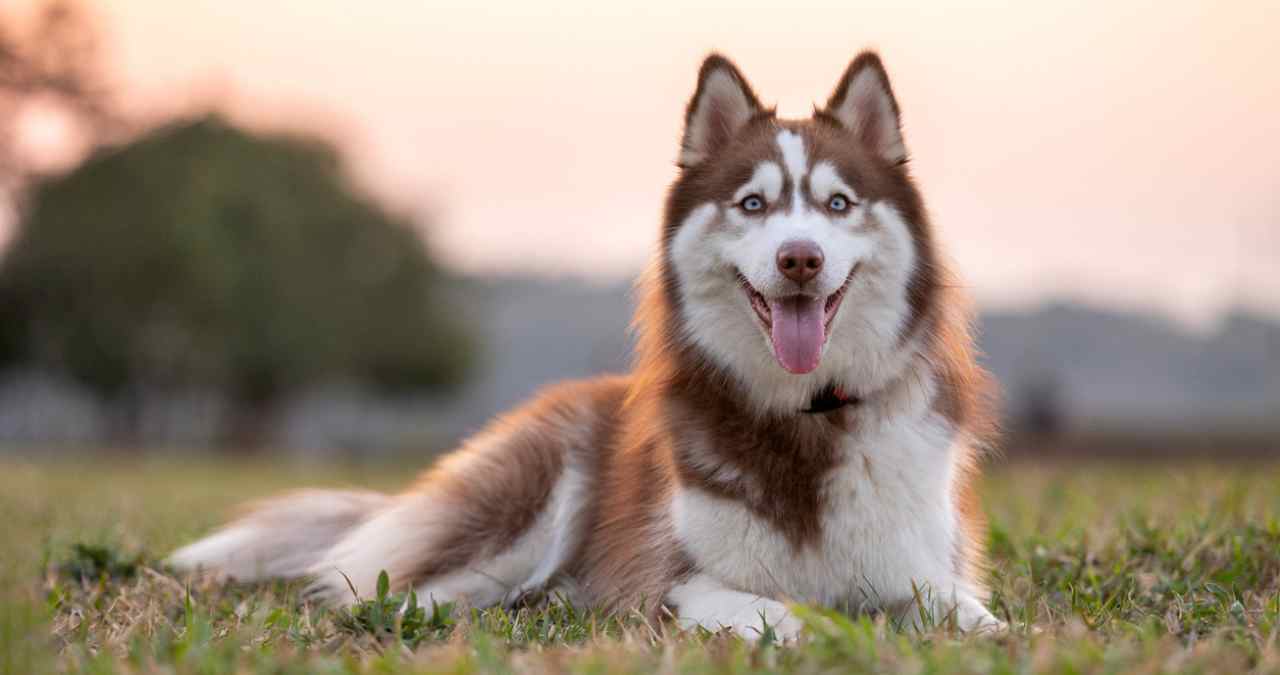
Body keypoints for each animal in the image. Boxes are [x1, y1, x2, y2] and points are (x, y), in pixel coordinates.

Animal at [167, 51, 998, 640]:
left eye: (838, 204)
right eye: (754, 204)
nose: (800, 258)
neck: (807, 420)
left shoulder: (931, 572)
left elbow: (978, 618)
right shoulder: (677, 584)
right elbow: (793, 614)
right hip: (533, 494)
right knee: (399, 589)